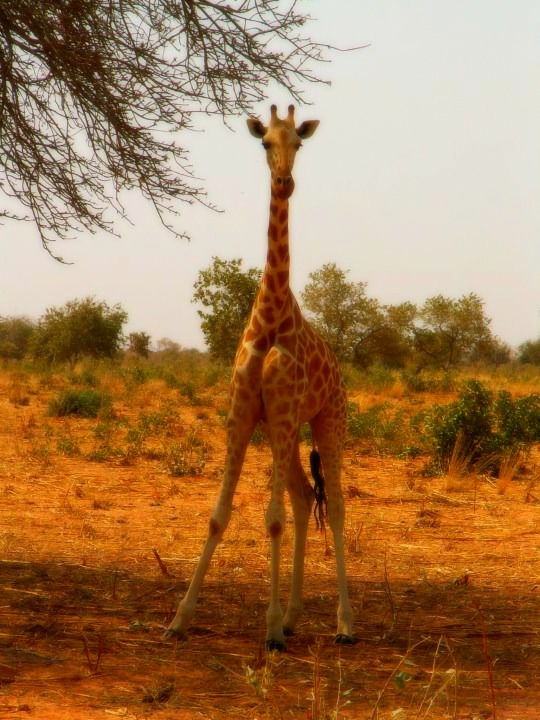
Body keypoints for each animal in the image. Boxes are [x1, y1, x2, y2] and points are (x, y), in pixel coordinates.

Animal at [167, 104, 356, 648]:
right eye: (264, 143)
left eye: (299, 142)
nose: (285, 182)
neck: (272, 312)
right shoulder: (244, 412)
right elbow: (219, 515)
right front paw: (180, 618)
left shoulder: (286, 413)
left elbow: (271, 519)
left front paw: (268, 629)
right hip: (283, 431)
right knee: (303, 497)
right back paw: (293, 617)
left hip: (327, 420)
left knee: (335, 504)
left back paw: (343, 623)